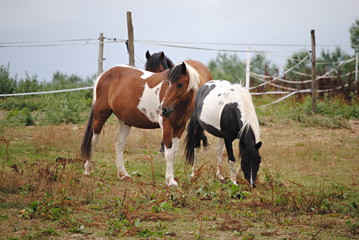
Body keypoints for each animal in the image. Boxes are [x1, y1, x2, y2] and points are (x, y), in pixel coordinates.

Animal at [80, 60, 212, 188]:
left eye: (180, 84)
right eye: (167, 83)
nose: (163, 109)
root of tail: (104, 75)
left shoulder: (179, 128)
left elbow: (173, 153)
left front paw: (171, 179)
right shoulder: (167, 126)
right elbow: (168, 154)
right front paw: (170, 181)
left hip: (125, 121)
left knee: (118, 143)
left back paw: (123, 175)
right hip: (100, 115)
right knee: (93, 141)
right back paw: (87, 170)